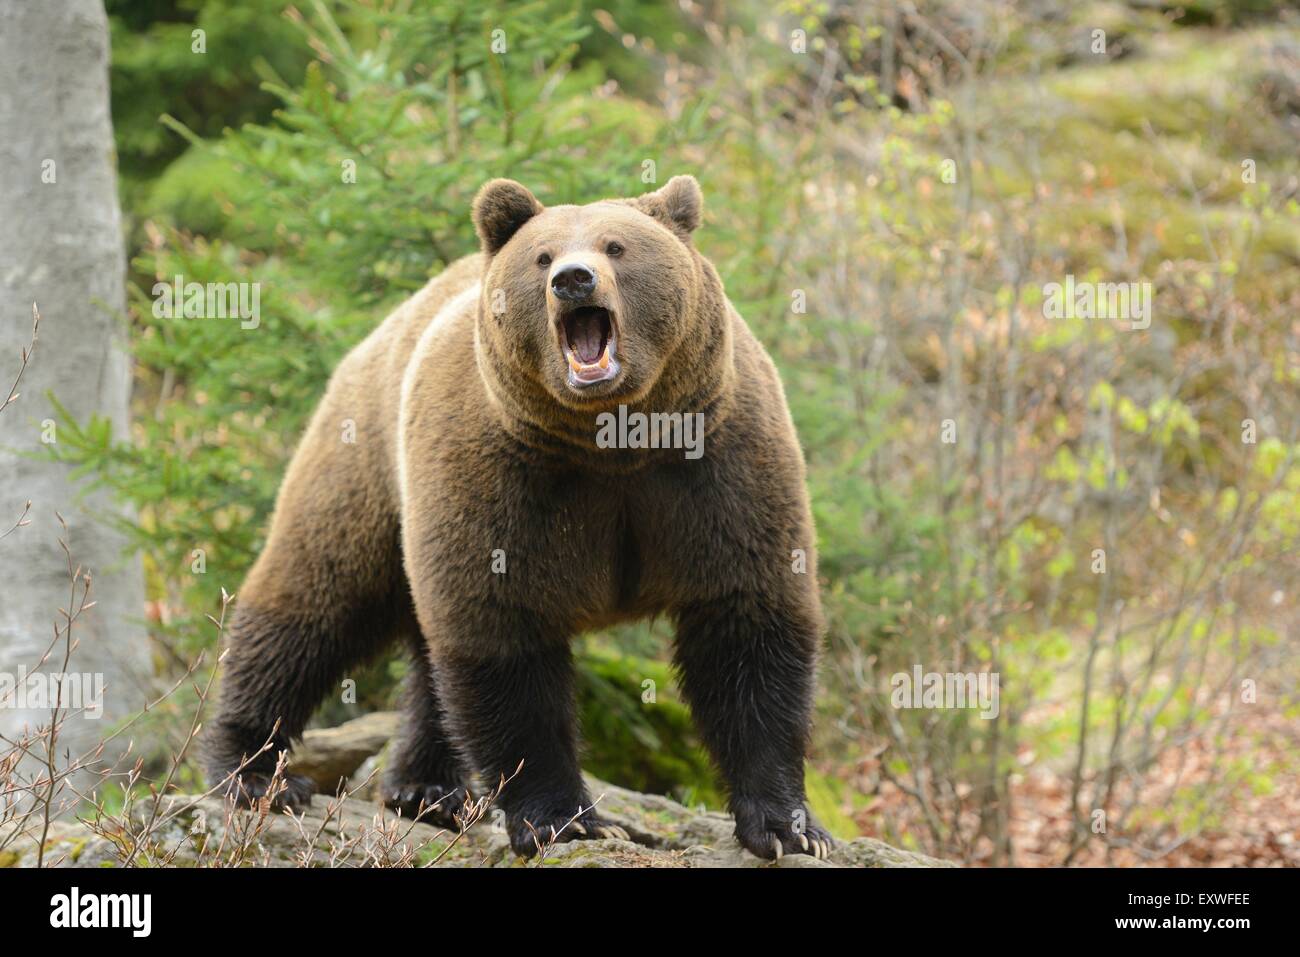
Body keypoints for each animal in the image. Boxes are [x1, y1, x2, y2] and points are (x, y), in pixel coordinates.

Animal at [202, 178, 832, 858]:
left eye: (616, 245)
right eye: (542, 256)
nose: (574, 279)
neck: (614, 441)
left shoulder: (717, 463)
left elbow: (747, 624)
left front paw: (789, 827)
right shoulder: (503, 476)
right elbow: (505, 639)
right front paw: (566, 819)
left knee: (420, 649)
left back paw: (426, 789)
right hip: (366, 463)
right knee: (313, 602)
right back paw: (254, 773)